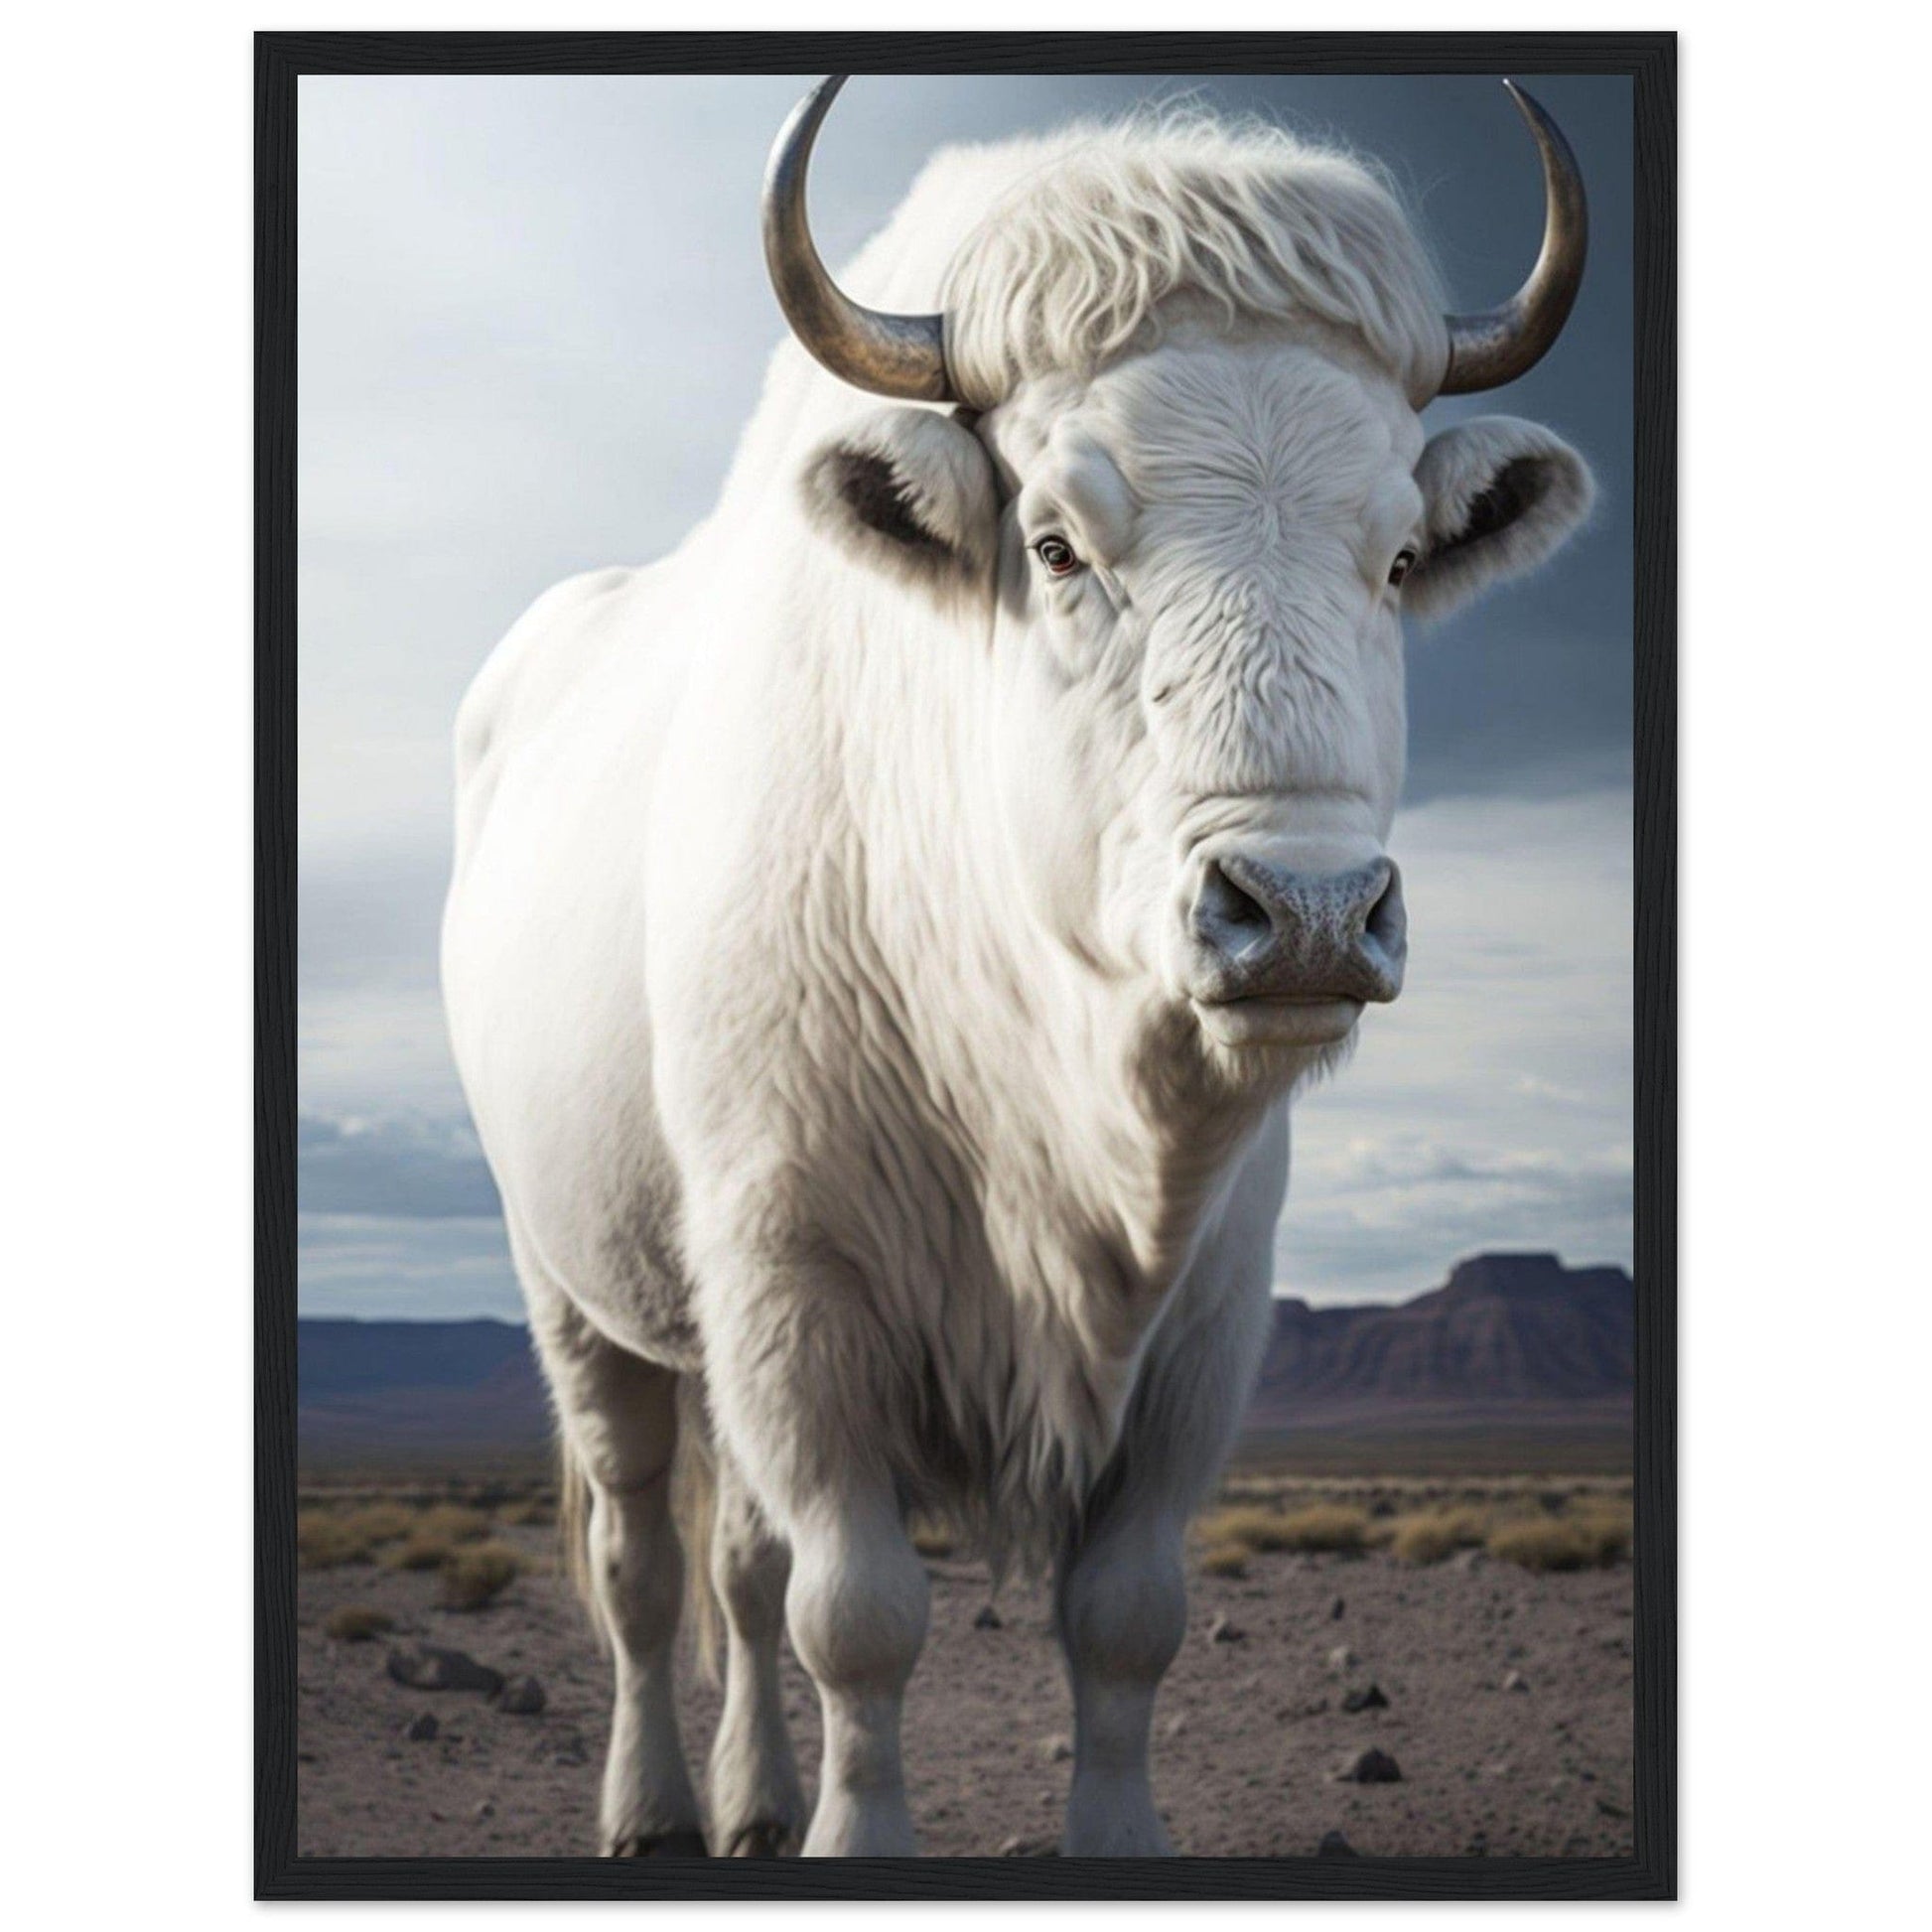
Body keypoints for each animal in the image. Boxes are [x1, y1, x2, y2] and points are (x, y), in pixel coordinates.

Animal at [441, 75, 1595, 1858]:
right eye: (1055, 544)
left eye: (1400, 558)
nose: (1305, 909)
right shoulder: (796, 1294)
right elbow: (856, 1615)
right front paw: (855, 1838)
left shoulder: (1204, 1328)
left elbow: (1123, 1617)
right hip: (576, 1289)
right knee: (644, 1559)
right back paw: (654, 1808)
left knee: (736, 1562)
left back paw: (751, 1802)